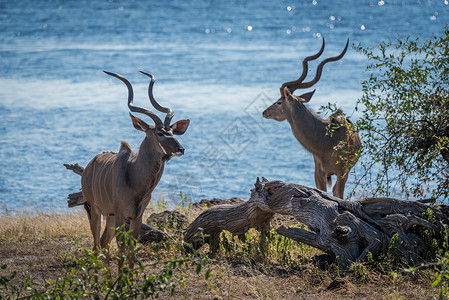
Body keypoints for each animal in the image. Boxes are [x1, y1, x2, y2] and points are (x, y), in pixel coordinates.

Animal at [81, 71, 188, 270]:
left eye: (172, 132)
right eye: (160, 133)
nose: (181, 149)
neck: (134, 178)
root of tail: (89, 167)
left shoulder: (136, 216)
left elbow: (131, 251)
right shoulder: (121, 215)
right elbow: (121, 250)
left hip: (109, 215)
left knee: (103, 242)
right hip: (95, 210)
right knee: (96, 245)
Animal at [262, 39, 360, 199]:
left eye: (279, 102)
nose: (264, 112)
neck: (325, 140)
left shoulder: (342, 171)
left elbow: (338, 195)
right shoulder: (318, 172)